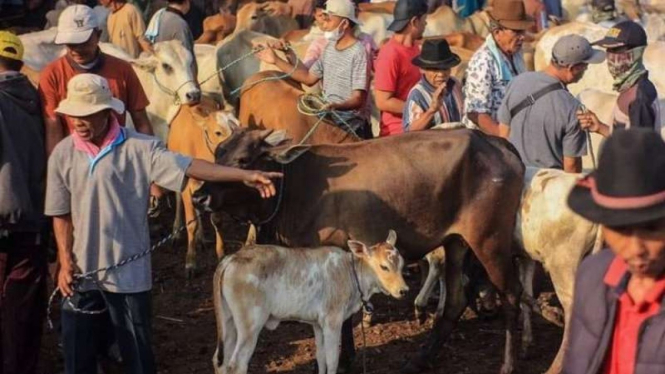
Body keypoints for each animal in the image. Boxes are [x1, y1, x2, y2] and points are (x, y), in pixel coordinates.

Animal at [213, 231, 410, 374]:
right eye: (384, 266)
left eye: (401, 263)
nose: (403, 290)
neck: (350, 273)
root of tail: (230, 259)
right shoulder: (332, 320)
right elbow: (332, 360)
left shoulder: (317, 323)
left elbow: (321, 358)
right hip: (250, 324)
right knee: (236, 364)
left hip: (229, 322)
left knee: (220, 361)